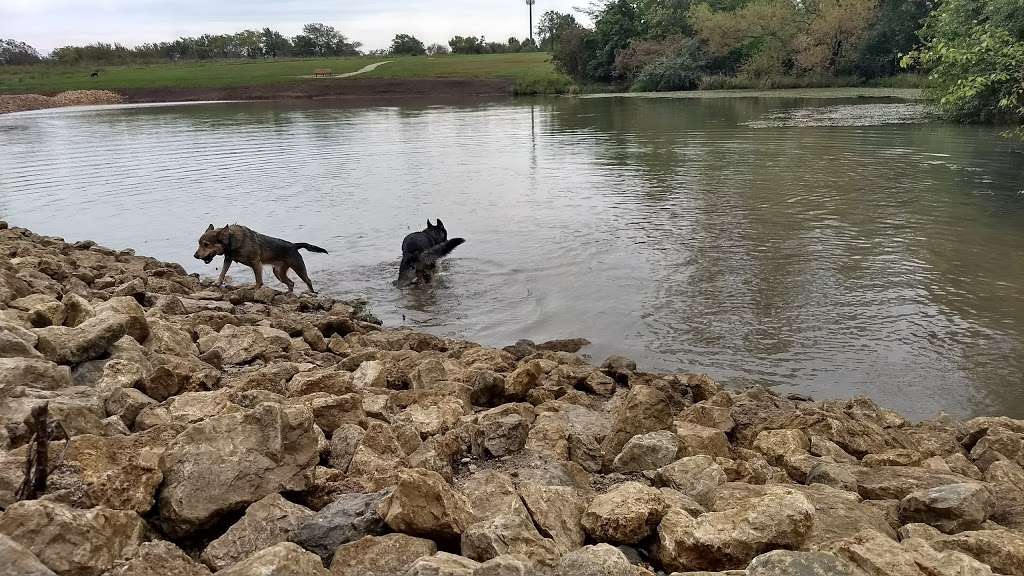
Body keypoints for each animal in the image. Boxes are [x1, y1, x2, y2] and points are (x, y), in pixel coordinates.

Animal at [193, 223, 325, 291]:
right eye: (199, 243)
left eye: (206, 244)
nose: (195, 256)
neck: (231, 240)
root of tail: (294, 245)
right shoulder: (228, 258)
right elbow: (222, 272)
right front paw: (217, 282)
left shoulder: (256, 263)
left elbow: (258, 280)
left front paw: (255, 287)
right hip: (278, 272)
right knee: (291, 283)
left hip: (298, 268)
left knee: (308, 281)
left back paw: (312, 293)